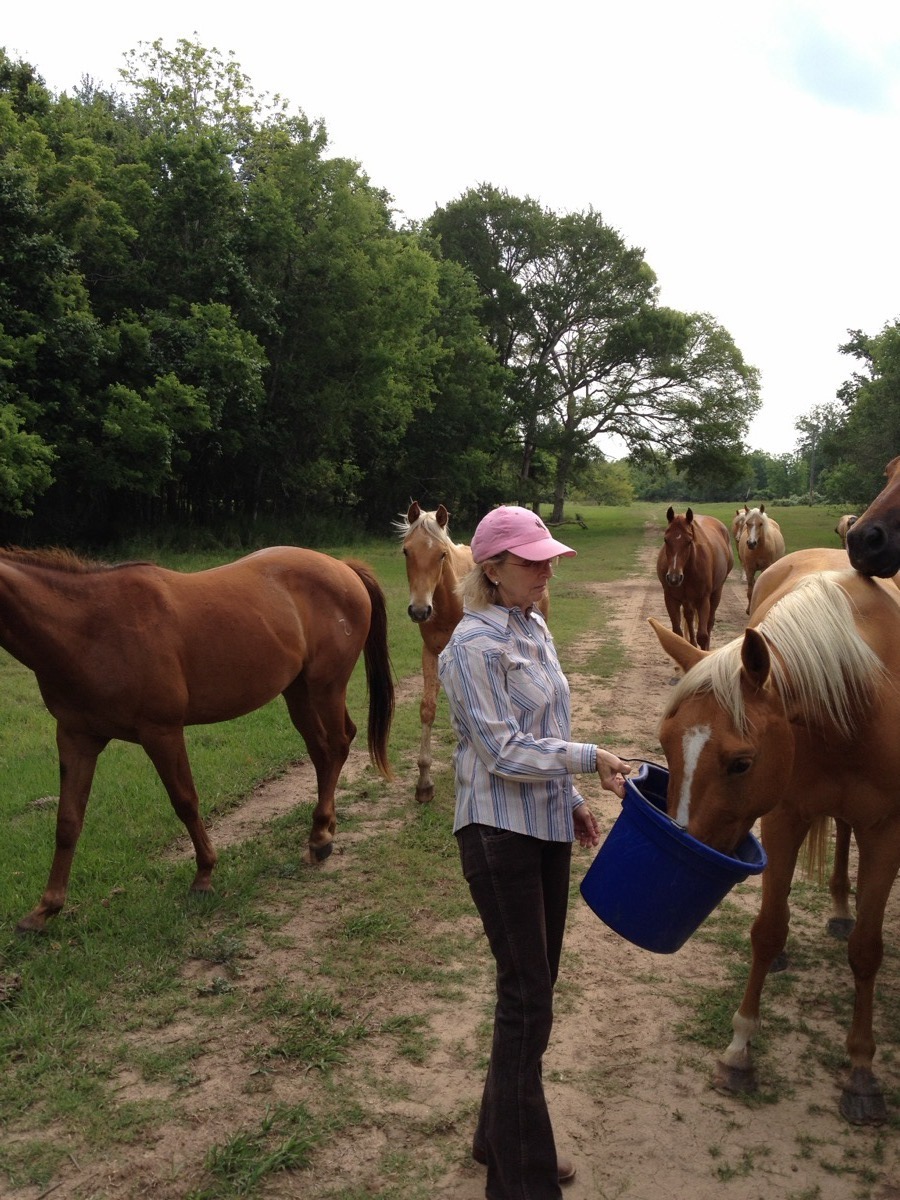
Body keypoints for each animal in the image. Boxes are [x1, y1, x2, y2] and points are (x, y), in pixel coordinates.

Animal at [0, 546, 395, 933]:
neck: (88, 628)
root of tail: (342, 566)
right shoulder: (76, 737)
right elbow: (68, 821)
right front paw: (45, 909)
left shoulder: (161, 732)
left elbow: (185, 802)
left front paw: (204, 876)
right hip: (297, 691)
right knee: (321, 751)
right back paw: (324, 827)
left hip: (326, 687)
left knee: (338, 744)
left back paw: (320, 839)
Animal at [649, 546, 900, 1124]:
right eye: (665, 742)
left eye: (741, 763)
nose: (682, 844)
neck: (859, 697)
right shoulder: (785, 817)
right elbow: (767, 930)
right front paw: (739, 1051)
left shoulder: (887, 832)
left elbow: (866, 949)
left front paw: (861, 1069)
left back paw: (842, 909)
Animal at [656, 506, 733, 651]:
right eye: (666, 540)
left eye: (689, 541)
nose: (674, 578)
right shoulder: (671, 598)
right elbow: (677, 634)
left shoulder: (703, 599)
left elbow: (702, 635)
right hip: (687, 599)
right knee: (689, 616)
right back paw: (692, 645)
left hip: (716, 593)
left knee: (709, 622)